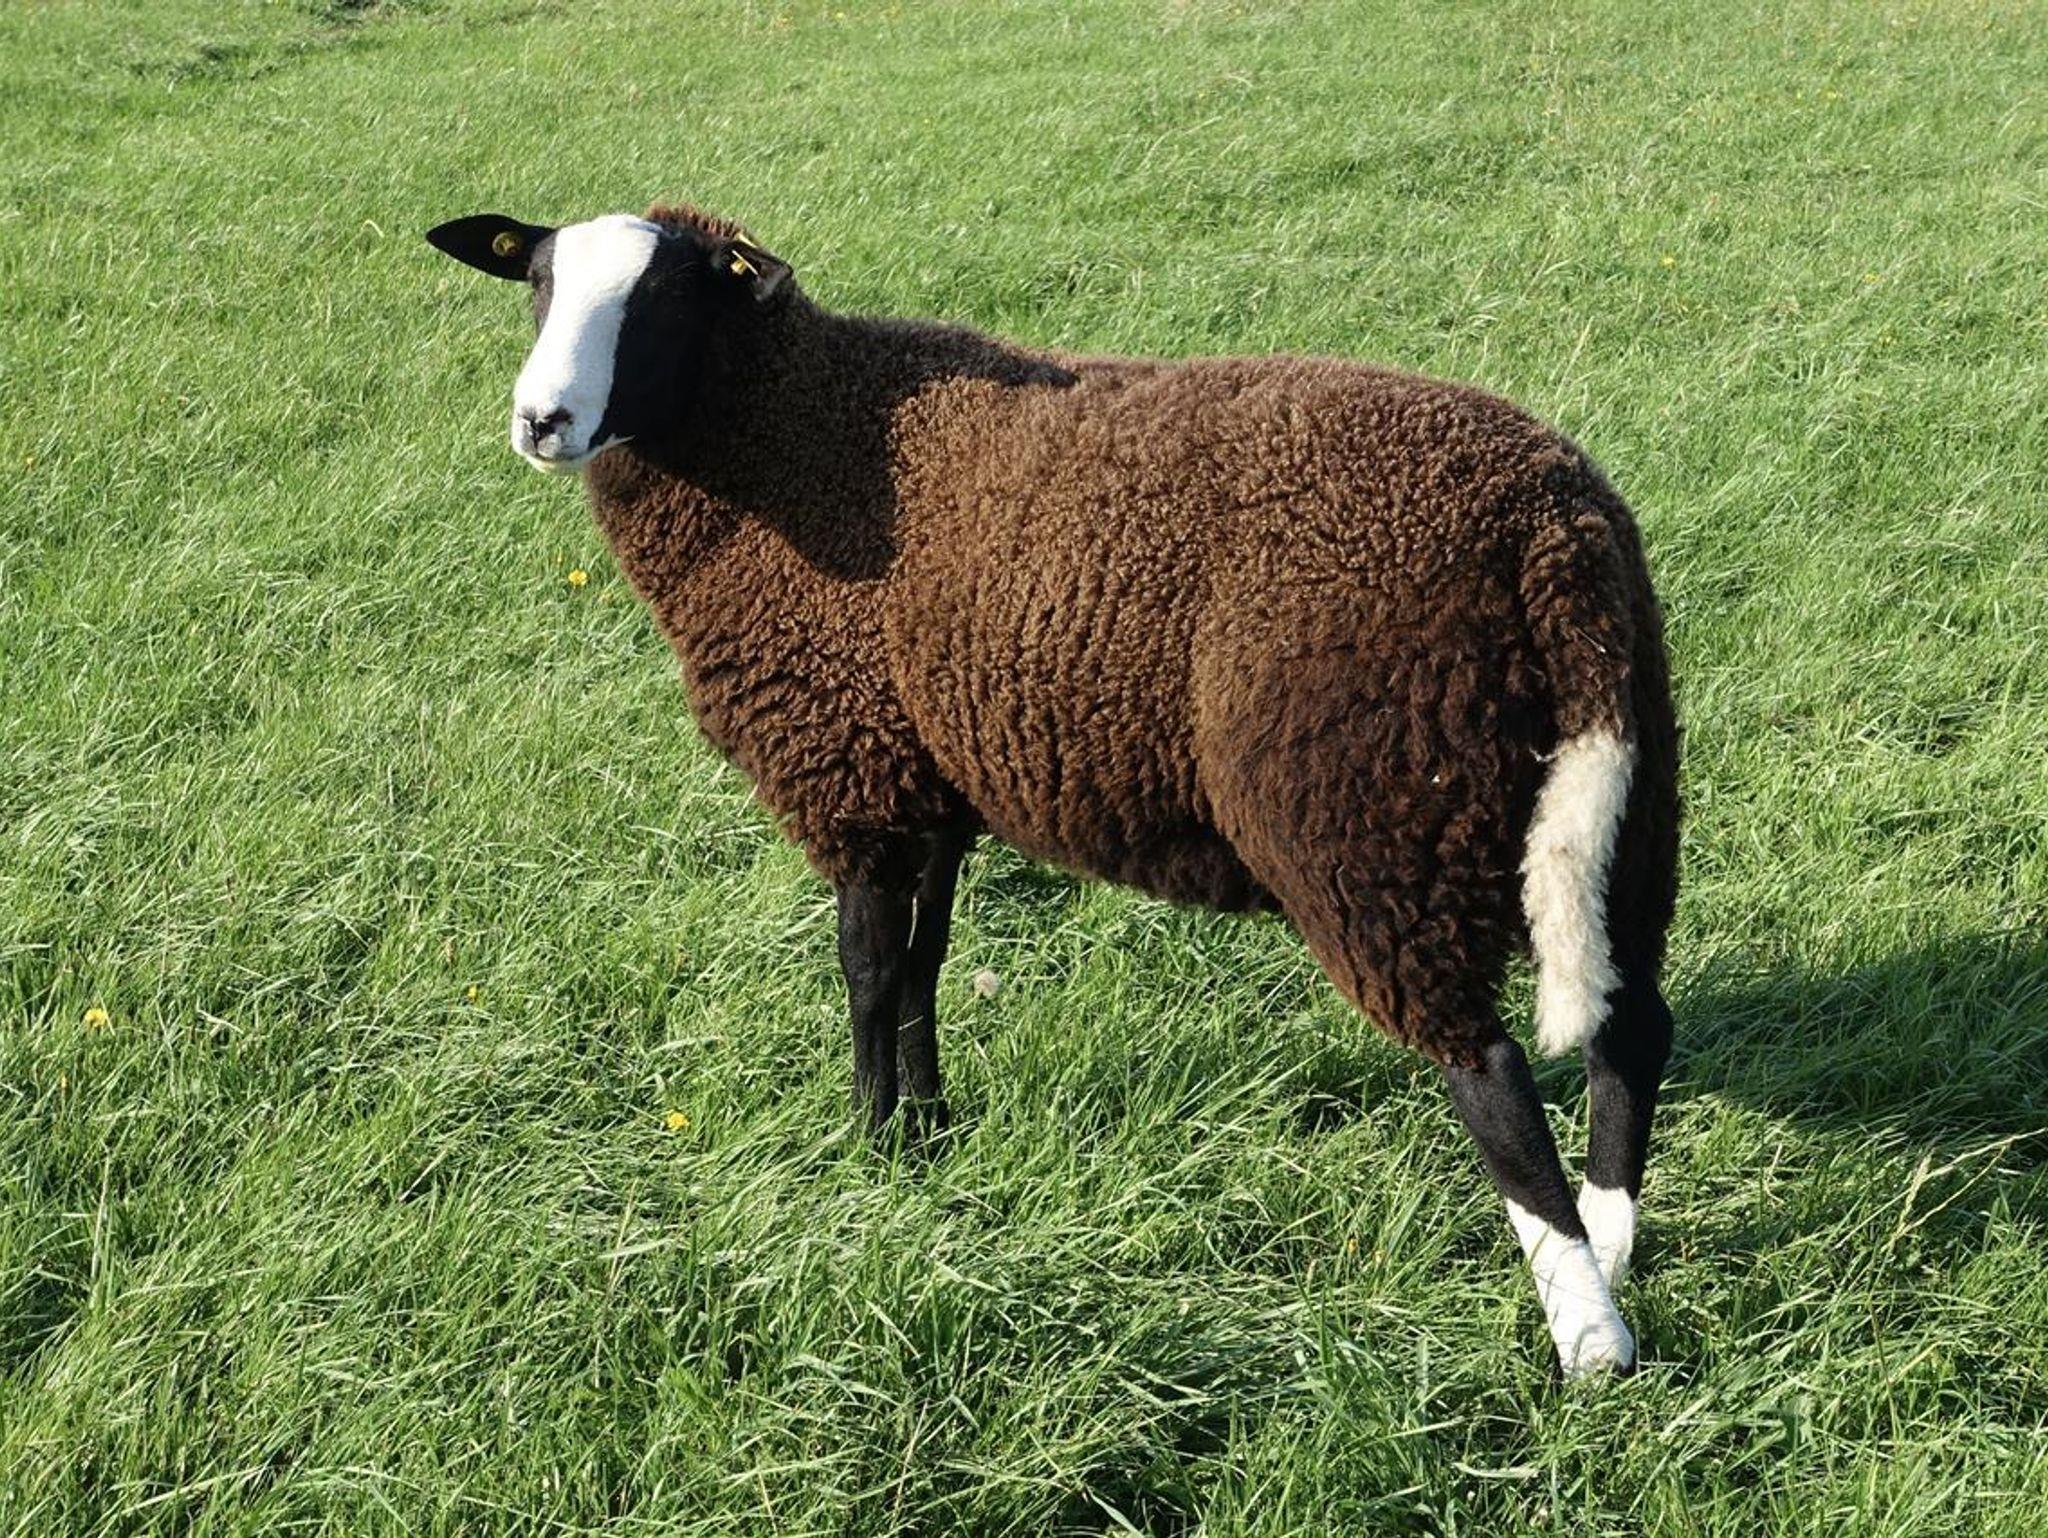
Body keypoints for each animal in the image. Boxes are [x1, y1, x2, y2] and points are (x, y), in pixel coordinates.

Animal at [425, 204, 1680, 1376]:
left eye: (668, 298)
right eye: (537, 283)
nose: (540, 422)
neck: (796, 435)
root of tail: (1550, 532)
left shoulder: (850, 767)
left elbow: (866, 969)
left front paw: (869, 1147)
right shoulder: (926, 778)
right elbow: (923, 963)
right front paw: (929, 1133)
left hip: (1368, 817)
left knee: (1494, 1077)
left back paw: (1589, 1341)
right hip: (1620, 794)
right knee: (1631, 1027)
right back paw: (1615, 1246)